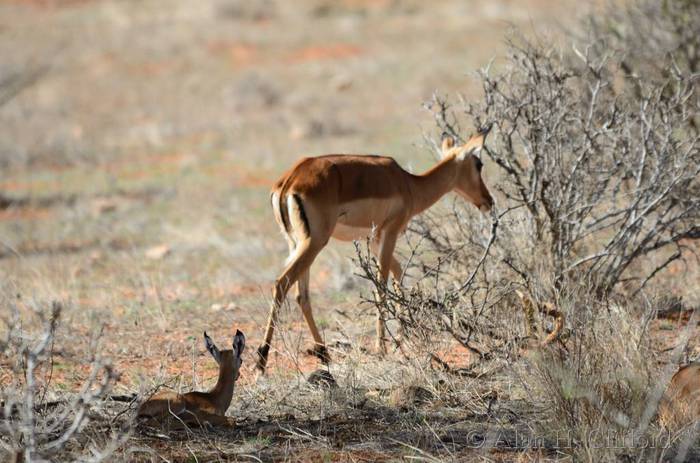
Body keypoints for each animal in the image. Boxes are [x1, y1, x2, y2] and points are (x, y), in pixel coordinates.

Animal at [256, 128, 495, 373]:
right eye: (479, 163)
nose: (488, 201)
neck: (408, 184)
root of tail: (289, 181)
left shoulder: (373, 238)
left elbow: (398, 273)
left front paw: (404, 336)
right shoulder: (390, 233)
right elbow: (381, 286)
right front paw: (383, 348)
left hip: (296, 243)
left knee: (301, 295)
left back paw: (324, 355)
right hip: (314, 243)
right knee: (281, 284)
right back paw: (261, 362)